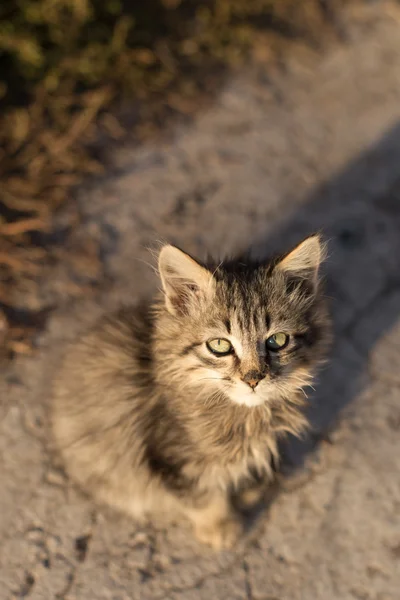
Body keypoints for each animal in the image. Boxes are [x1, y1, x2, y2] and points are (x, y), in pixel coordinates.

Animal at [50, 234, 332, 548]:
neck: (243, 417)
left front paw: (248, 490)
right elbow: (204, 497)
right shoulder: (173, 459)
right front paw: (220, 527)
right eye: (219, 345)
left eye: (277, 341)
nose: (253, 379)